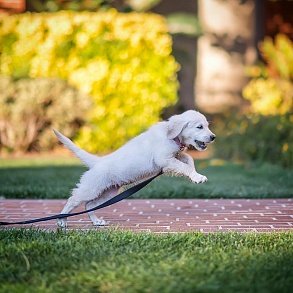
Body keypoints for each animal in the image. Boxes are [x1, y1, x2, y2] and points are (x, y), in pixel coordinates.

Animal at [54, 109, 214, 226]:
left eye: (207, 126)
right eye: (199, 127)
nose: (213, 137)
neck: (171, 136)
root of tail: (98, 162)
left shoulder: (176, 156)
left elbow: (189, 160)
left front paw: (195, 175)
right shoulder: (164, 159)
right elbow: (184, 166)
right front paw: (197, 176)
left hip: (109, 193)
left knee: (90, 205)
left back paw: (97, 222)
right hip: (90, 188)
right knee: (73, 200)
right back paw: (61, 221)